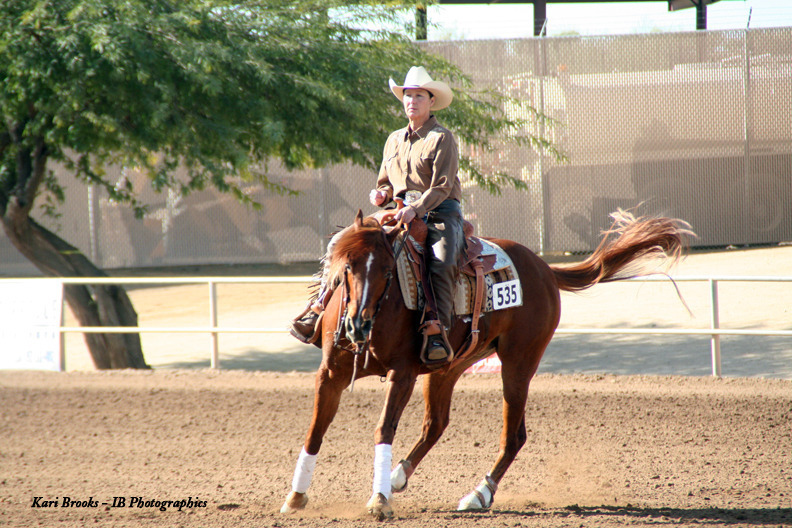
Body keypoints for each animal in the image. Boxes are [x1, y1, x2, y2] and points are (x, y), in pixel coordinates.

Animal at [281, 208, 692, 519]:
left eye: (386, 271)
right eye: (346, 267)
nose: (358, 325)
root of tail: (543, 268)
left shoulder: (403, 374)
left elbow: (384, 428)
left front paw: (378, 500)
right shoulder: (330, 374)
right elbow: (315, 431)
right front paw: (296, 497)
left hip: (519, 363)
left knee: (513, 435)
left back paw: (477, 494)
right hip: (449, 366)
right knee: (436, 423)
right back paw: (398, 477)